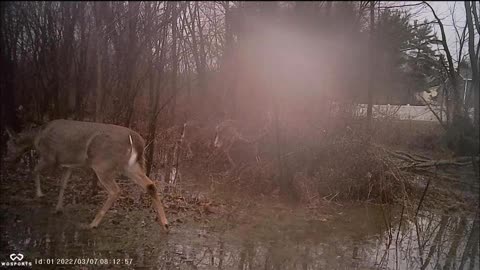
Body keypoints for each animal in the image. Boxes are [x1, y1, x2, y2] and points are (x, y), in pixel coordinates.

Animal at [3, 119, 169, 231]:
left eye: (8, 144)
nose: (6, 159)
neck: (37, 137)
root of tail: (135, 138)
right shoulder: (68, 165)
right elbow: (63, 185)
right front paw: (58, 209)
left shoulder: (49, 157)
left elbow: (35, 171)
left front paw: (39, 194)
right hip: (129, 166)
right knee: (150, 185)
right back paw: (165, 223)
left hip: (103, 165)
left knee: (115, 190)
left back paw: (93, 223)